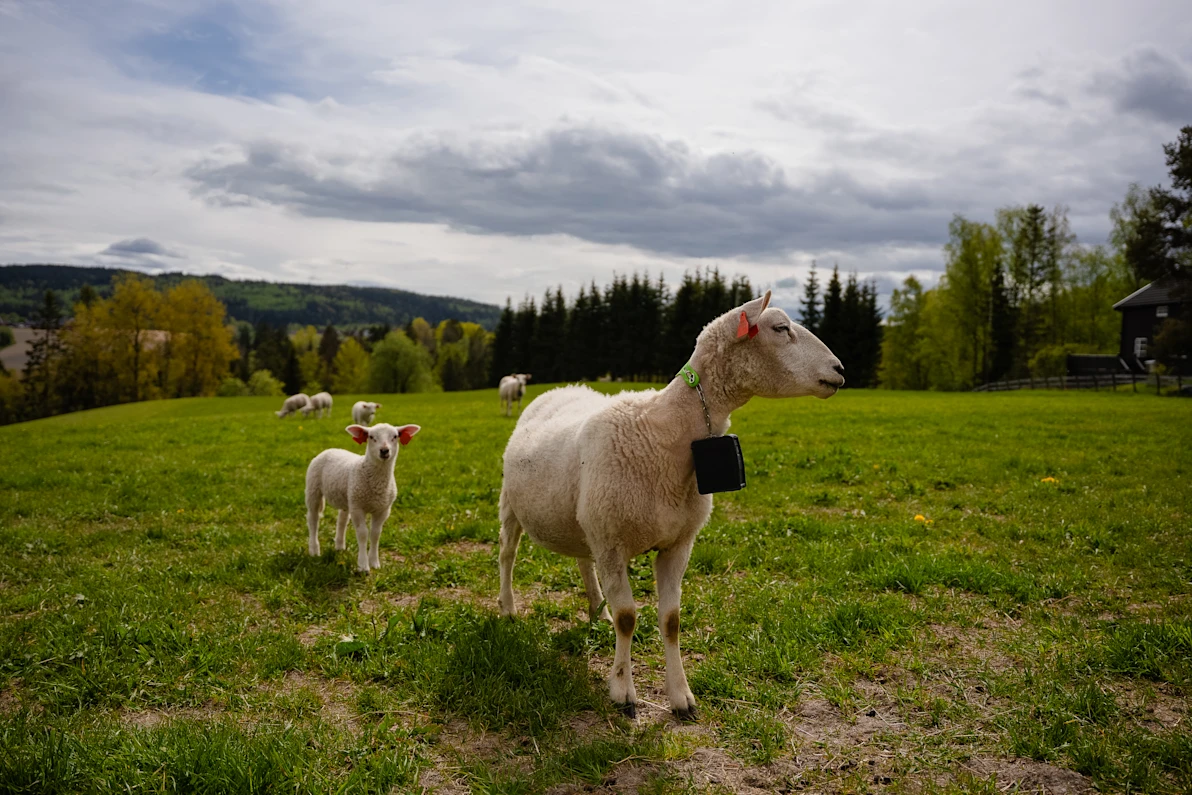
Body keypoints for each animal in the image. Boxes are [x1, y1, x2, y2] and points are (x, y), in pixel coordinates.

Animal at [305, 422, 421, 572]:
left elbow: (375, 534)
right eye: (371, 437)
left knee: (342, 520)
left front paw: (374, 562)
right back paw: (314, 550)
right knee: (313, 519)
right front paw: (363, 566)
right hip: (313, 489)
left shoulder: (383, 509)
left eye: (395, 436)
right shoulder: (358, 508)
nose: (384, 451)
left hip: (348, 497)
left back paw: (339, 546)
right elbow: (362, 534)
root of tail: (330, 449)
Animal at [497, 291, 844, 720]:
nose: (840, 369)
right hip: (513, 503)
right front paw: (623, 691)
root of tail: (560, 388)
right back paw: (508, 608)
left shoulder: (677, 543)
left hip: (583, 519)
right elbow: (629, 618)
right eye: (780, 328)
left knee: (582, 561)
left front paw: (681, 696)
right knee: (507, 554)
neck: (663, 433)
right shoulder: (613, 543)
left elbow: (672, 620)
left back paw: (597, 609)